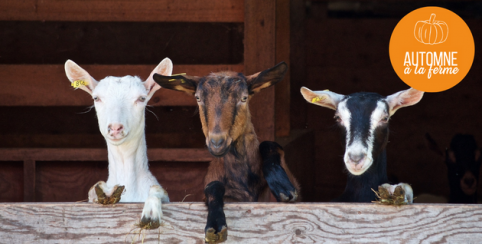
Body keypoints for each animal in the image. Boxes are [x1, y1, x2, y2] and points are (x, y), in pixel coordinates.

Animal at [63, 58, 170, 228]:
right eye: (96, 98)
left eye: (142, 98)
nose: (115, 128)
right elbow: (93, 190)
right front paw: (106, 192)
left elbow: (157, 189)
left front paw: (151, 213)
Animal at [153, 62, 298, 243]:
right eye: (198, 98)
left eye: (244, 98)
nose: (217, 143)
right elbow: (213, 186)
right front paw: (215, 225)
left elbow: (269, 145)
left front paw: (282, 186)